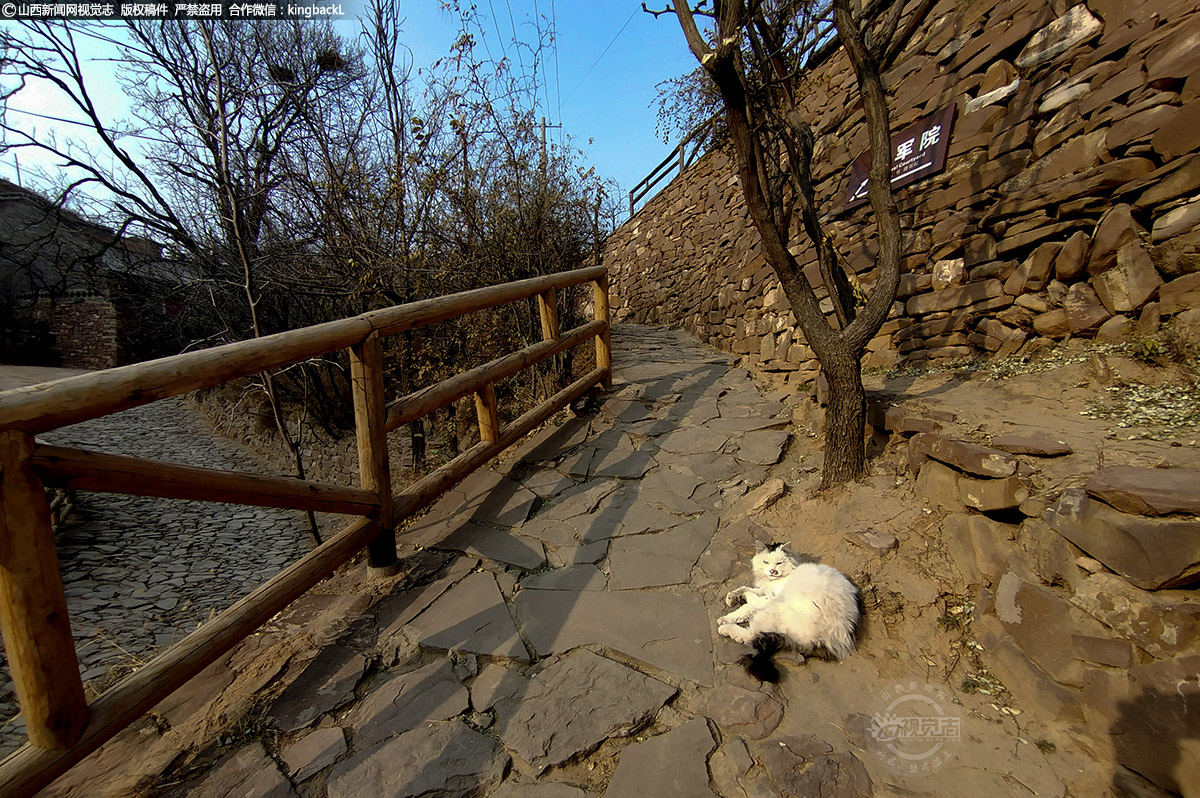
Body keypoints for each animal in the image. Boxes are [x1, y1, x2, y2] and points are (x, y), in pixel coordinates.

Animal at [715, 542, 859, 676]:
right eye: (766, 562)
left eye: (779, 563)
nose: (772, 571)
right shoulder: (763, 590)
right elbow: (745, 589)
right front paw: (732, 598)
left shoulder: (771, 597)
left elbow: (748, 605)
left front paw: (734, 609)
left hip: (773, 612)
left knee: (750, 634)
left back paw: (725, 628)